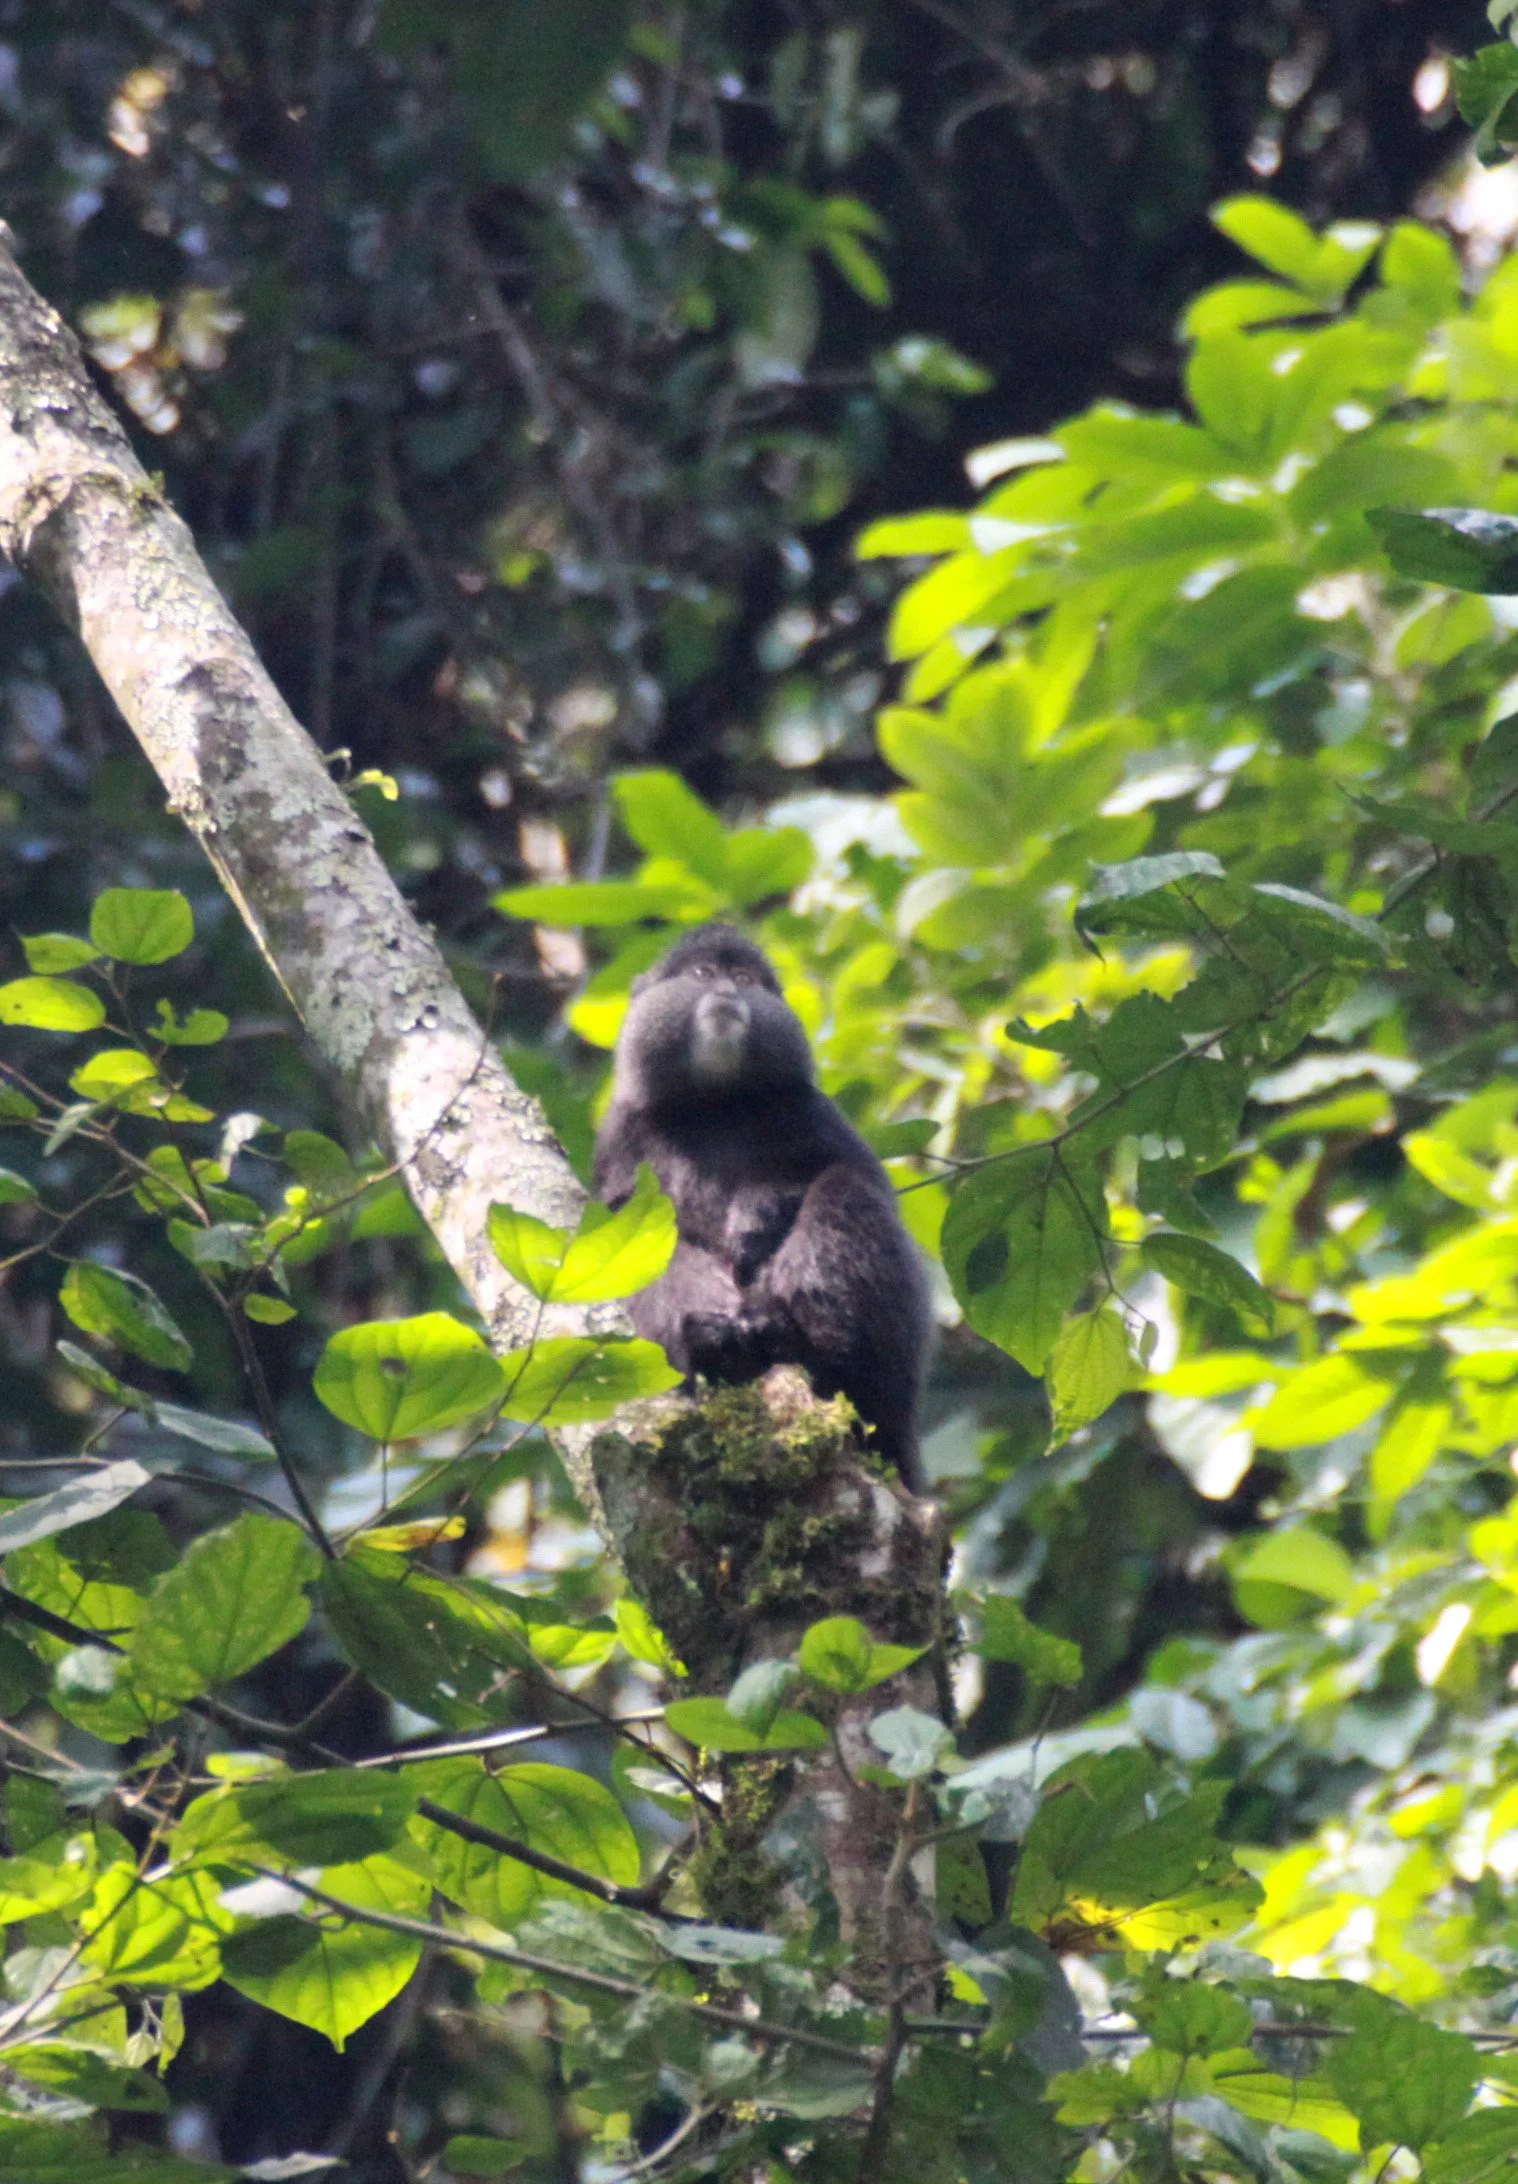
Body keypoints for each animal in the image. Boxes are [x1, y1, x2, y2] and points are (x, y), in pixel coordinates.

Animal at [593, 923, 932, 1492]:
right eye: (704, 973)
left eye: (745, 978)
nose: (728, 990)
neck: (717, 1103)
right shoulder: (623, 1132)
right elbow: (620, 1225)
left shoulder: (810, 1109)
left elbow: (851, 1176)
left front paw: (758, 1214)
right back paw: (716, 1342)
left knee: (844, 1190)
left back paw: (799, 1340)